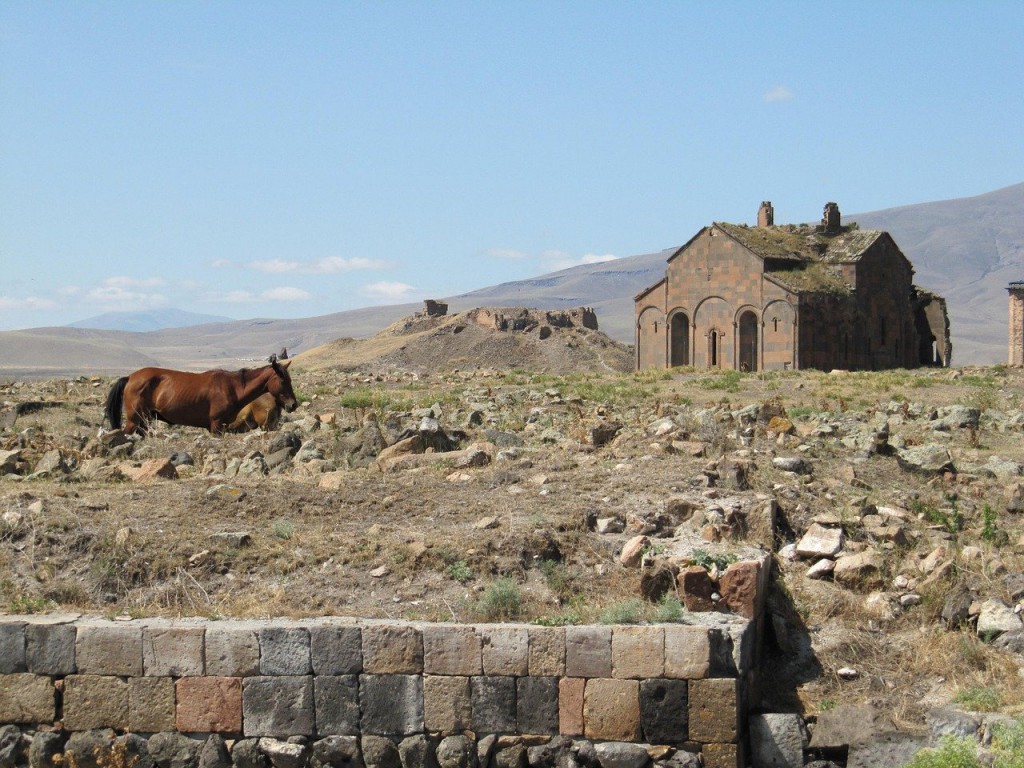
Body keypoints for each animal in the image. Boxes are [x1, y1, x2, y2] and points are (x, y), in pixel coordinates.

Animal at [105, 354, 299, 436]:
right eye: (283, 381)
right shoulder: (216, 425)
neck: (232, 387)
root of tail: (130, 377)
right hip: (134, 420)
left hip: (144, 421)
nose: (293, 405)